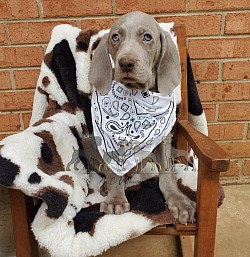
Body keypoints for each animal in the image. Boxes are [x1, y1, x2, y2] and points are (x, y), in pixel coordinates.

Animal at [89, 11, 196, 224]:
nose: (125, 63)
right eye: (115, 37)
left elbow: (168, 172)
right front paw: (115, 198)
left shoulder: (164, 138)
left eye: (147, 37)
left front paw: (179, 201)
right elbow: (112, 170)